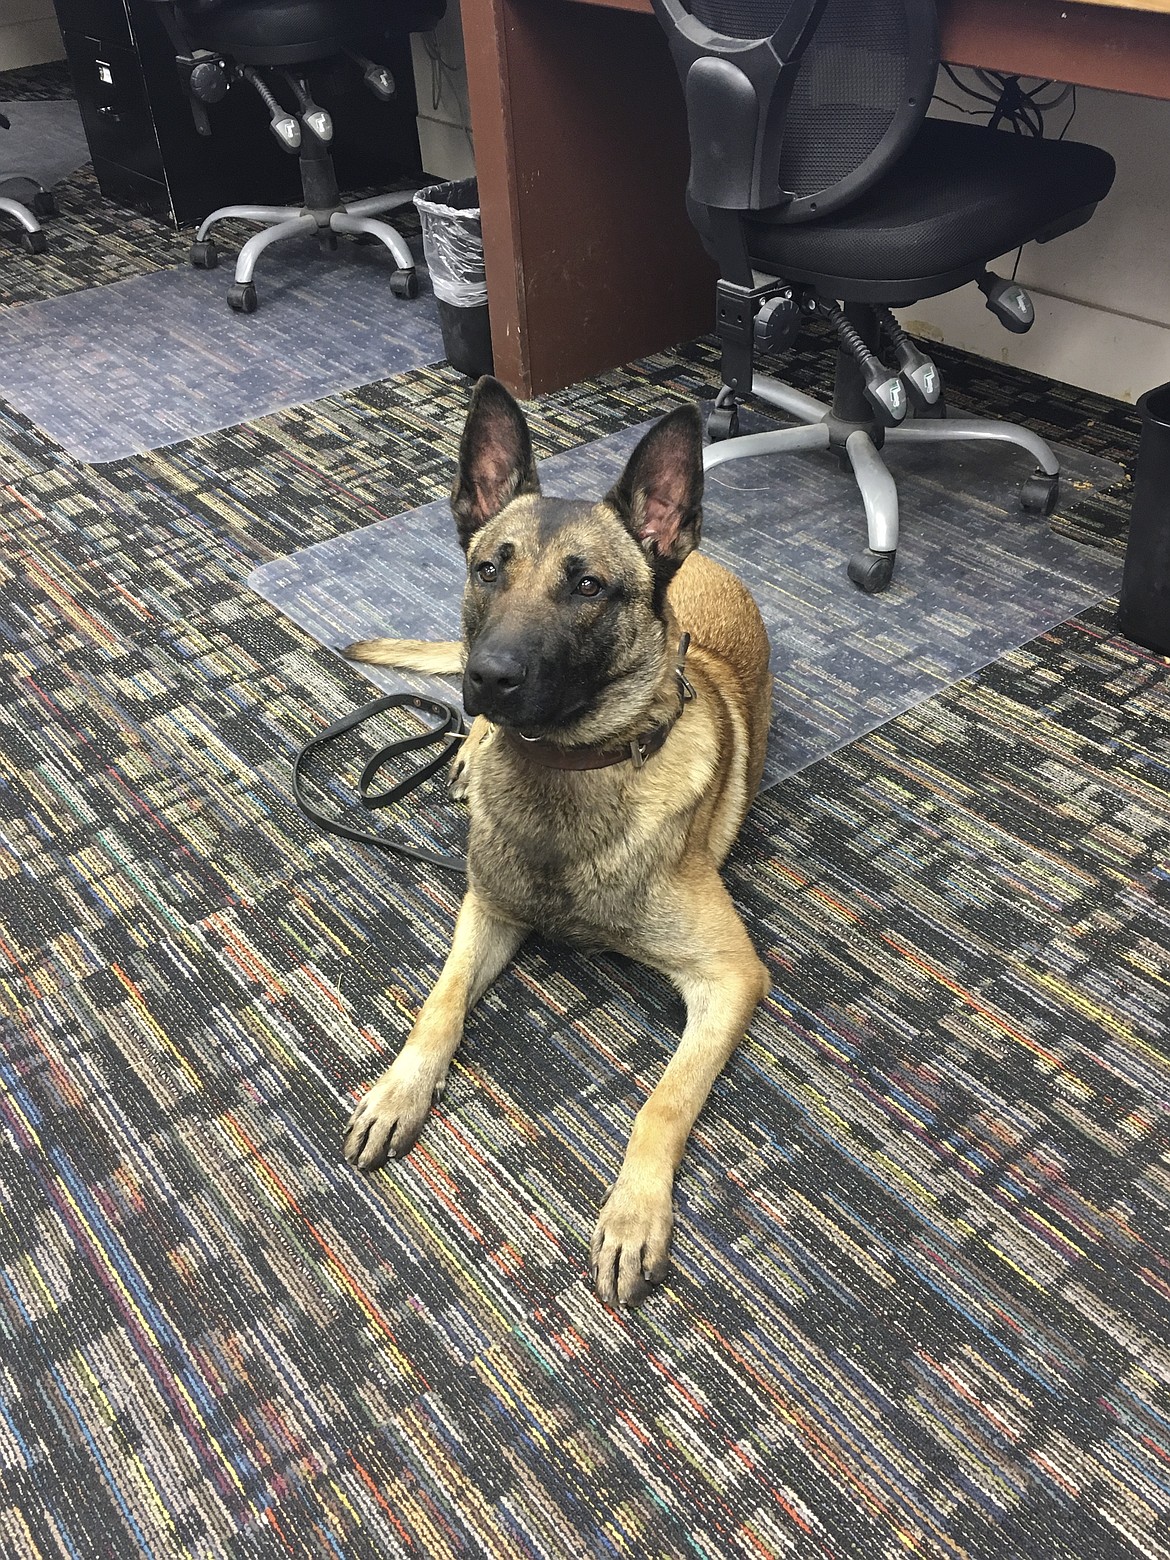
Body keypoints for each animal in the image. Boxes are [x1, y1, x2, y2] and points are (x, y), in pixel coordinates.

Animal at [343, 383, 773, 1310]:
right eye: (488, 569)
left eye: (587, 586)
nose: (491, 677)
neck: (566, 770)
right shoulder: (486, 908)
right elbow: (439, 1005)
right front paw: (400, 1089)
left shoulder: (730, 977)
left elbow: (663, 1102)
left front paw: (633, 1214)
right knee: (470, 742)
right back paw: (467, 754)